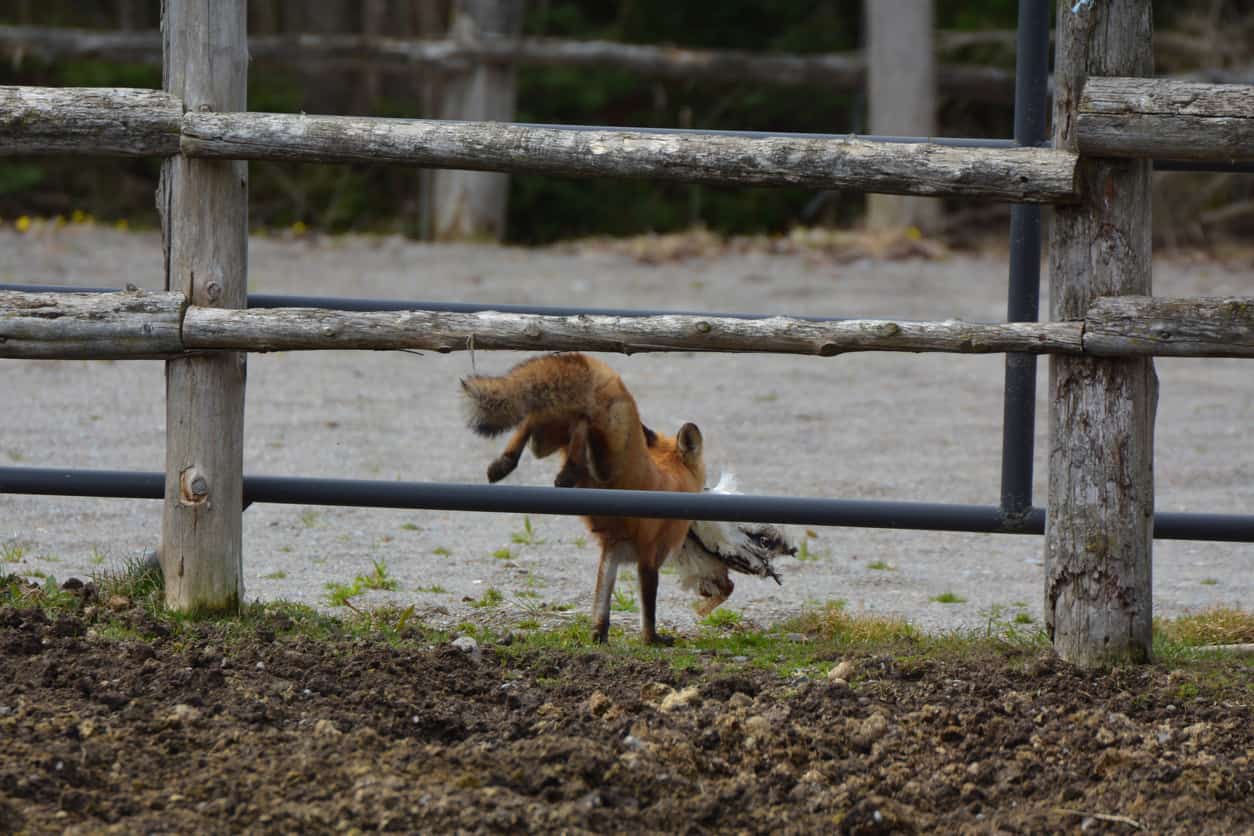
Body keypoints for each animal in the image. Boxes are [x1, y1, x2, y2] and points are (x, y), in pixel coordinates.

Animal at [460, 352, 704, 645]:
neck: (673, 480)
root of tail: (611, 379)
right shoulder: (650, 557)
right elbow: (648, 610)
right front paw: (652, 639)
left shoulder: (612, 549)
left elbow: (602, 603)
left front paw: (599, 635)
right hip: (606, 461)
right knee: (583, 422)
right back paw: (566, 471)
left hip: (547, 438)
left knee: (537, 420)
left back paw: (507, 464)